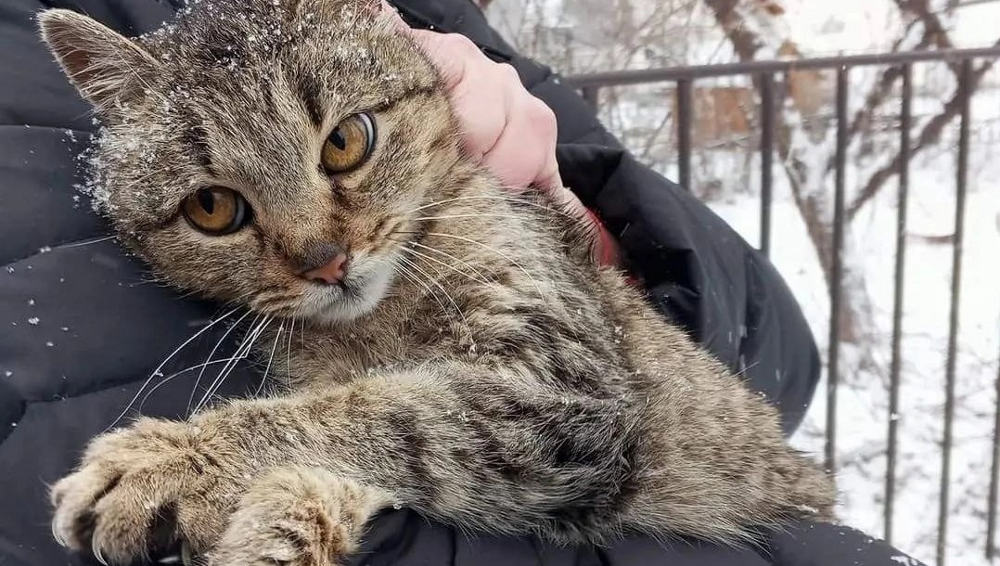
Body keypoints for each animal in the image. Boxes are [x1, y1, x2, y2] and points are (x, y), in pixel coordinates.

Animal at [41, 2, 836, 564]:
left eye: (345, 141)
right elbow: (367, 416)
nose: (326, 260)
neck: (376, 321)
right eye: (212, 208)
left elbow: (379, 416)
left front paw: (178, 463)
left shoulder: (566, 390)